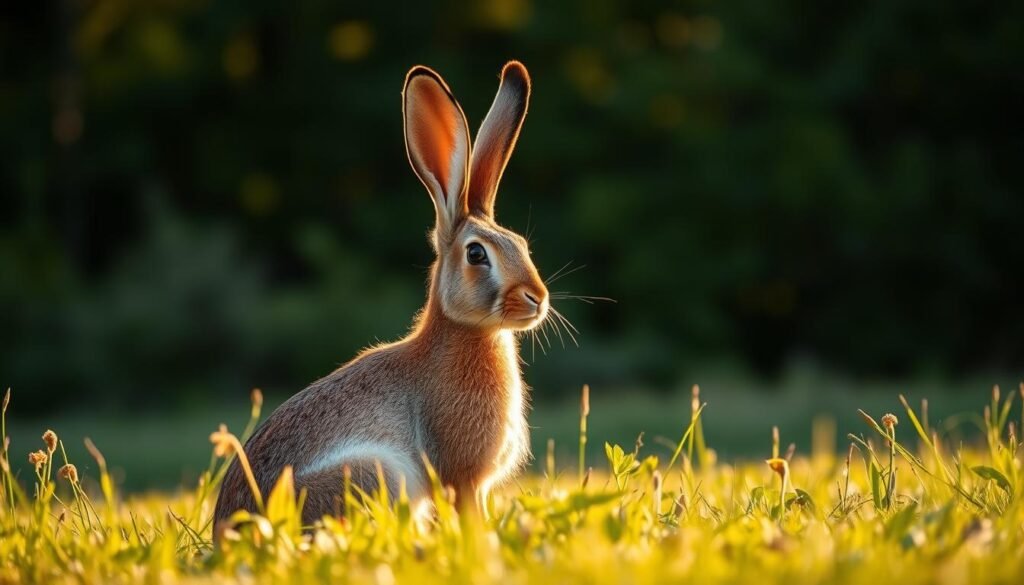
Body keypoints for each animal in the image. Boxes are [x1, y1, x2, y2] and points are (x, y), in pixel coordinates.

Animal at [214, 61, 548, 526]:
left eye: (521, 244)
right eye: (477, 254)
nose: (537, 298)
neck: (467, 331)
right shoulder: (462, 476)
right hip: (376, 474)